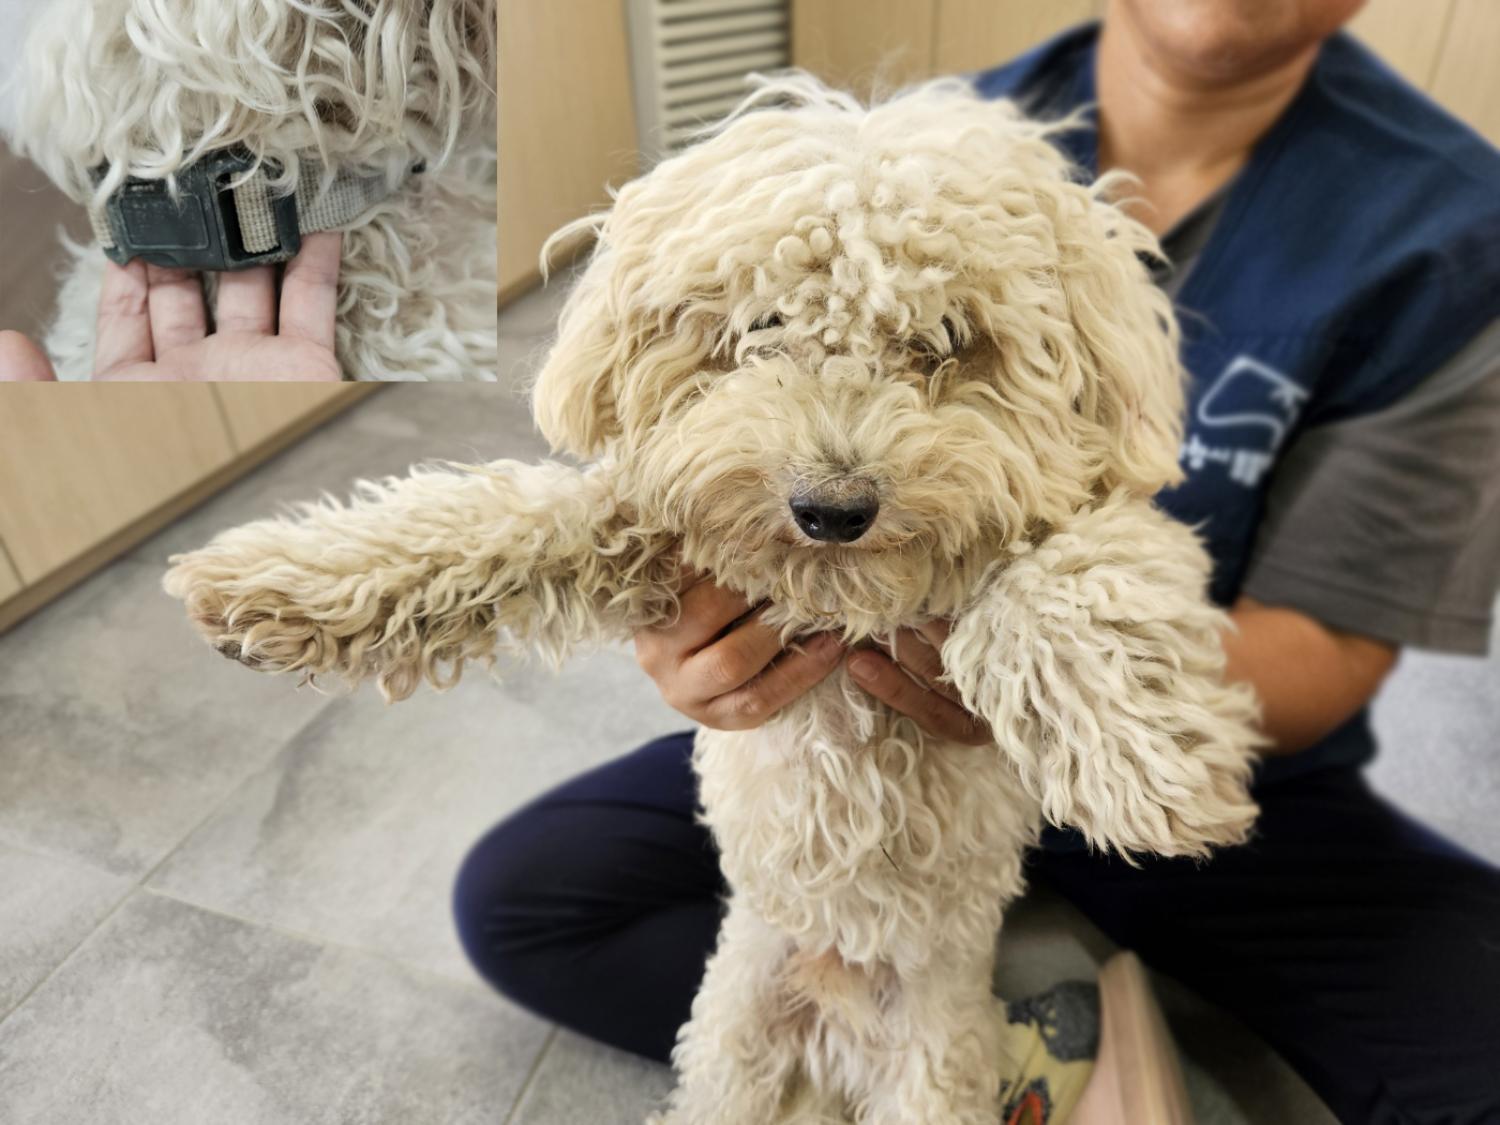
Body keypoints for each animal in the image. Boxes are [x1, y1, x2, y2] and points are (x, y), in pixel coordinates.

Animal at [167, 75, 1266, 1122]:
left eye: (948, 338)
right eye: (763, 326)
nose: (833, 508)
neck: (839, 602)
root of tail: (834, 1020)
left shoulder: (1083, 520)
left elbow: (1077, 578)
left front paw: (1153, 760)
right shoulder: (647, 528)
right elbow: (491, 521)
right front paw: (270, 582)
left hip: (934, 1067)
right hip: (731, 1045)